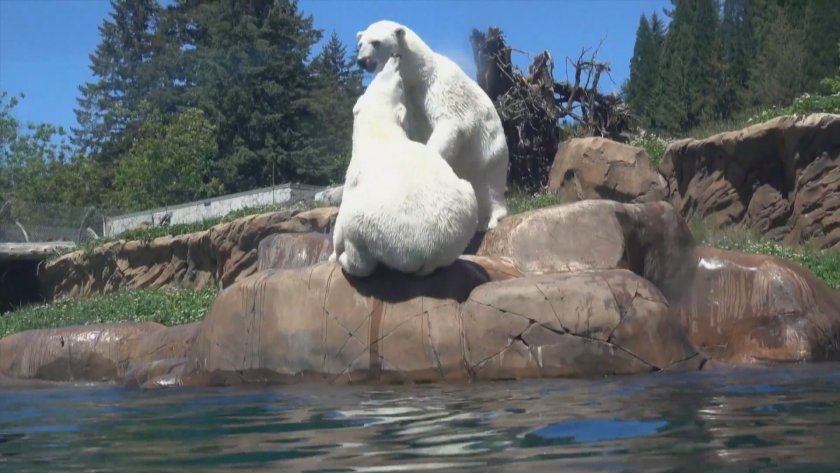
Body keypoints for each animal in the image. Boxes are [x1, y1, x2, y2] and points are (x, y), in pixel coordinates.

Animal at [328, 55, 480, 276]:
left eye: (397, 81)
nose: (394, 59)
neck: (380, 133)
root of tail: (430, 251)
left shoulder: (354, 175)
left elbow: (339, 222)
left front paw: (332, 255)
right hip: (465, 206)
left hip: (375, 228)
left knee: (359, 252)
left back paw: (345, 260)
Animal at [352, 20, 506, 230]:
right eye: (360, 44)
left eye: (376, 42)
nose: (362, 60)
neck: (417, 74)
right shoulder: (409, 99)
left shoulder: (439, 86)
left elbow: (450, 122)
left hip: (488, 149)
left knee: (490, 184)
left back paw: (491, 218)